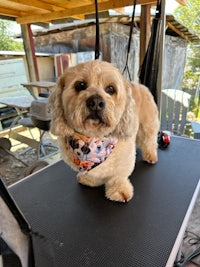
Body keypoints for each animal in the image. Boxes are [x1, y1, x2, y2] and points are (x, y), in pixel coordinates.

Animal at [48, 60, 159, 203]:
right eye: (80, 85)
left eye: (111, 89)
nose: (95, 102)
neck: (94, 138)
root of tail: (140, 85)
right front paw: (89, 180)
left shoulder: (123, 162)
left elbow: (117, 177)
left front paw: (119, 191)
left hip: (148, 125)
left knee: (149, 140)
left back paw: (150, 155)